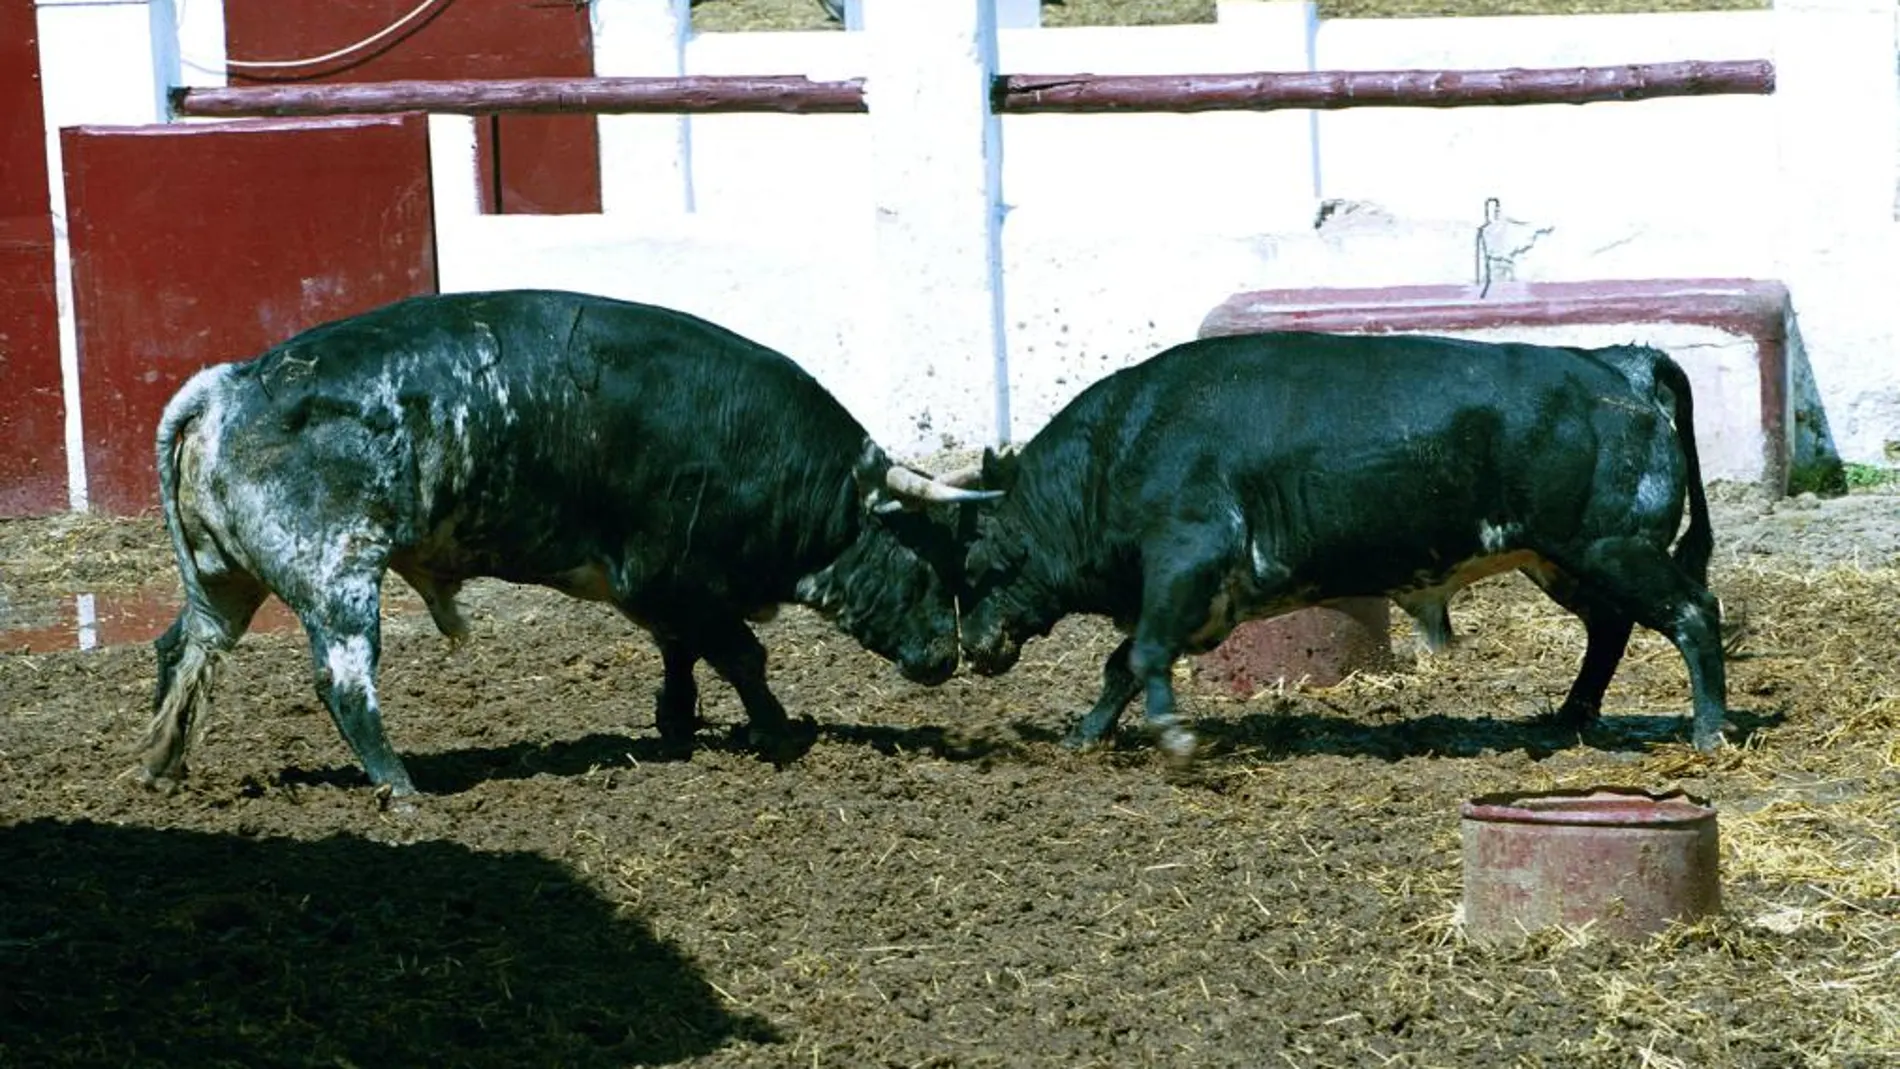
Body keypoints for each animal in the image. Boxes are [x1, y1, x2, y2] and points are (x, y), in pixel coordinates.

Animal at [142, 288, 1003, 797]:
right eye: (932, 563)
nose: (947, 657)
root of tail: (228, 384)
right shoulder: (676, 577)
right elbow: (741, 655)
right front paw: (776, 730)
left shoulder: (655, 592)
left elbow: (682, 653)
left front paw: (678, 721)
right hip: (338, 577)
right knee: (344, 684)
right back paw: (402, 788)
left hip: (225, 579)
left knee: (185, 649)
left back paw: (161, 765)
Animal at [957, 334, 1732, 759]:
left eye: (976, 566)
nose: (971, 646)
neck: (1122, 446)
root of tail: (1620, 364)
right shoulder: (1201, 599)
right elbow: (1124, 662)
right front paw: (1085, 734)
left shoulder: (1187, 561)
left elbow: (1142, 654)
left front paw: (1173, 739)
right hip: (1566, 559)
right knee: (1611, 626)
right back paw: (1570, 715)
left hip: (1614, 547)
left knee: (1694, 613)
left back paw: (1709, 729)